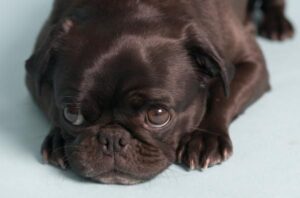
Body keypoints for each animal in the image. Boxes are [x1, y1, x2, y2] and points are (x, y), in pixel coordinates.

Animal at [24, 0, 294, 185]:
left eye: (158, 115)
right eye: (72, 114)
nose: (112, 138)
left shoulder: (253, 64)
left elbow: (222, 96)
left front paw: (205, 138)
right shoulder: (32, 71)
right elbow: (49, 103)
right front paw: (58, 138)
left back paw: (277, 25)